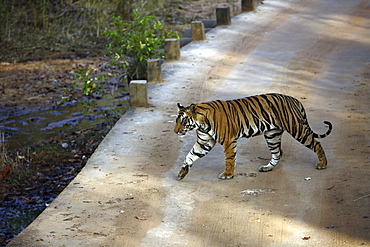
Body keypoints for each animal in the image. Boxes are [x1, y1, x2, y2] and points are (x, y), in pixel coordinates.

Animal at [174, 92, 332, 179]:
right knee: (277, 153)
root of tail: (294, 99)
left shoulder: (228, 140)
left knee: (316, 143)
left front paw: (228, 174)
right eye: (177, 120)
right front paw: (182, 173)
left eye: (183, 121)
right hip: (272, 135)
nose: (176, 132)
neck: (201, 123)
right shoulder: (204, 142)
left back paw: (322, 164)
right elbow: (190, 156)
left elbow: (229, 158)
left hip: (297, 129)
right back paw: (266, 168)